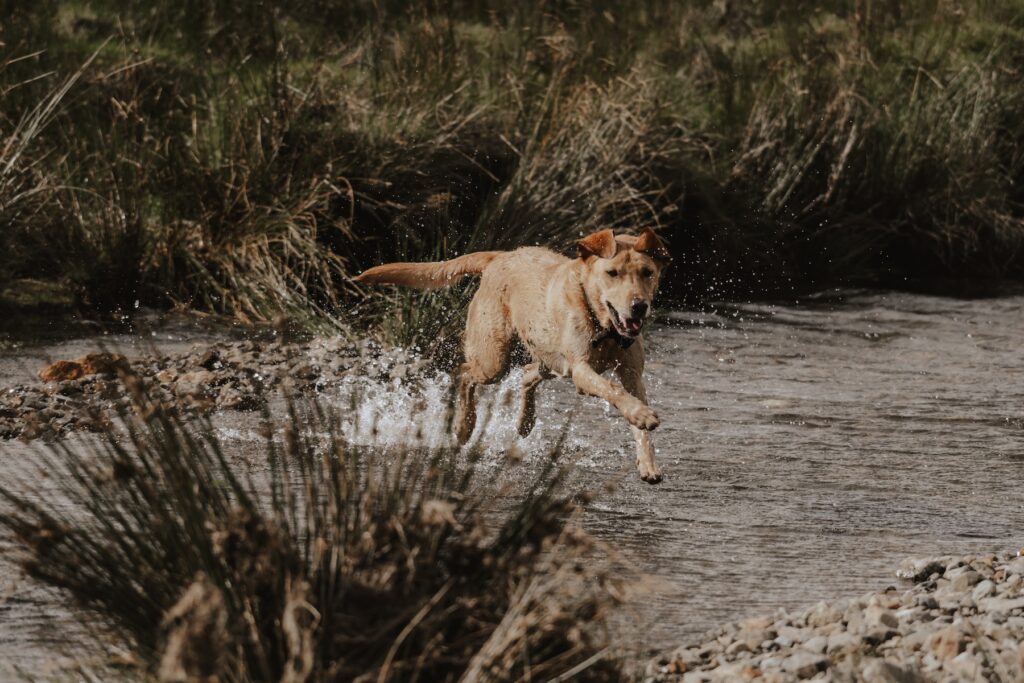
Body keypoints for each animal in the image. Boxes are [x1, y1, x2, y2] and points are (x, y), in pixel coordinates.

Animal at [354, 229, 671, 485]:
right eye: (612, 273)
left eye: (647, 272)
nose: (639, 306)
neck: (604, 326)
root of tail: (500, 256)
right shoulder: (582, 370)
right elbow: (613, 390)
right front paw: (642, 415)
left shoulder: (631, 373)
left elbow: (634, 413)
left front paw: (648, 462)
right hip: (494, 360)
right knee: (464, 373)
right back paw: (464, 426)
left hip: (547, 357)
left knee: (527, 374)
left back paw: (524, 421)